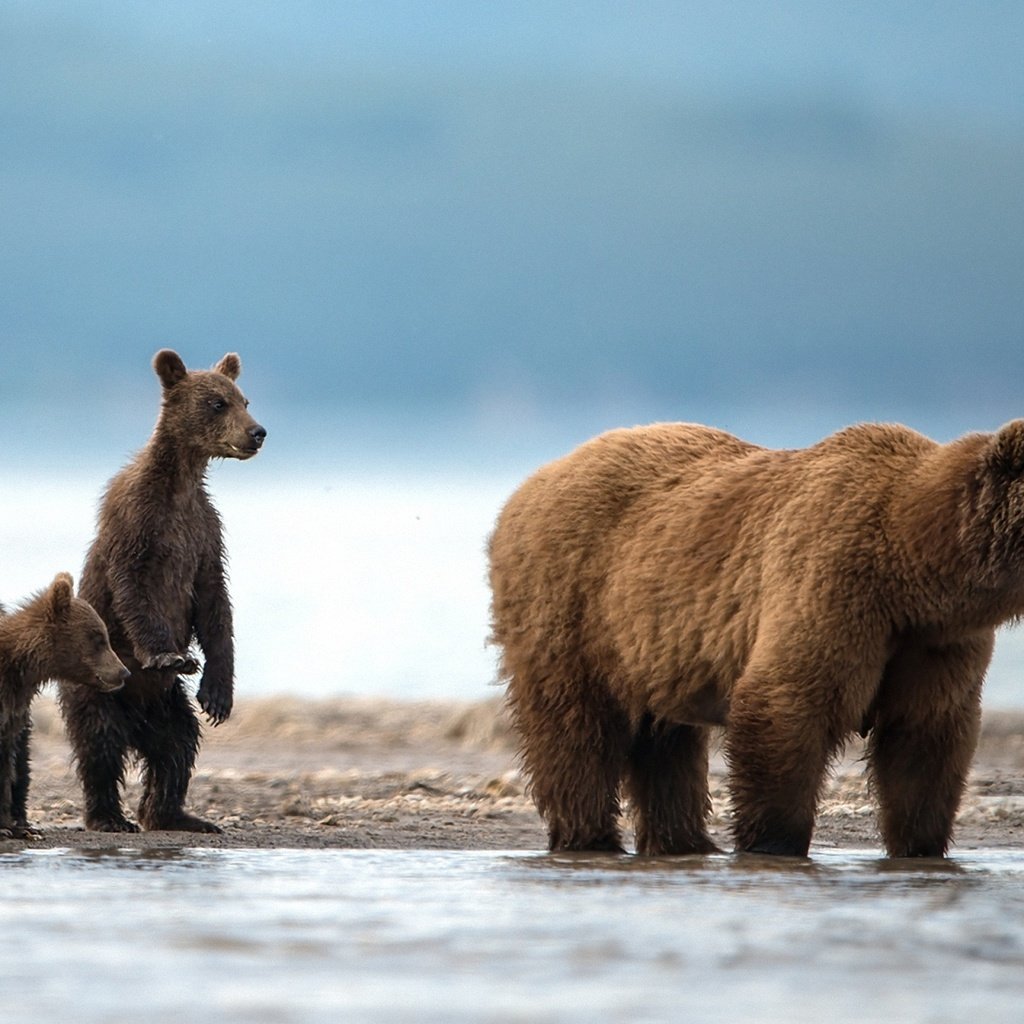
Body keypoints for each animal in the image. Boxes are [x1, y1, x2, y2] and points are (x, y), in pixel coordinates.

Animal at [58, 352, 268, 831]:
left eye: (244, 399)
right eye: (217, 403)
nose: (257, 432)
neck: (180, 483)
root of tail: (138, 723)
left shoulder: (204, 530)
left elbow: (215, 603)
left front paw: (218, 694)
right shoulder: (138, 522)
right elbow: (134, 589)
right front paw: (169, 655)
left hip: (168, 705)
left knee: (177, 747)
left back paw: (178, 815)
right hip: (100, 686)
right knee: (100, 745)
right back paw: (108, 817)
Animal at [483, 415, 1024, 856]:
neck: (913, 563)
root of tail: (529, 484)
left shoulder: (935, 641)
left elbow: (924, 739)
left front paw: (921, 846)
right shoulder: (834, 582)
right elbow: (786, 705)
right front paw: (774, 843)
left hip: (652, 638)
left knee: (665, 742)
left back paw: (684, 842)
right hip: (572, 602)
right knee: (575, 728)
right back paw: (590, 836)